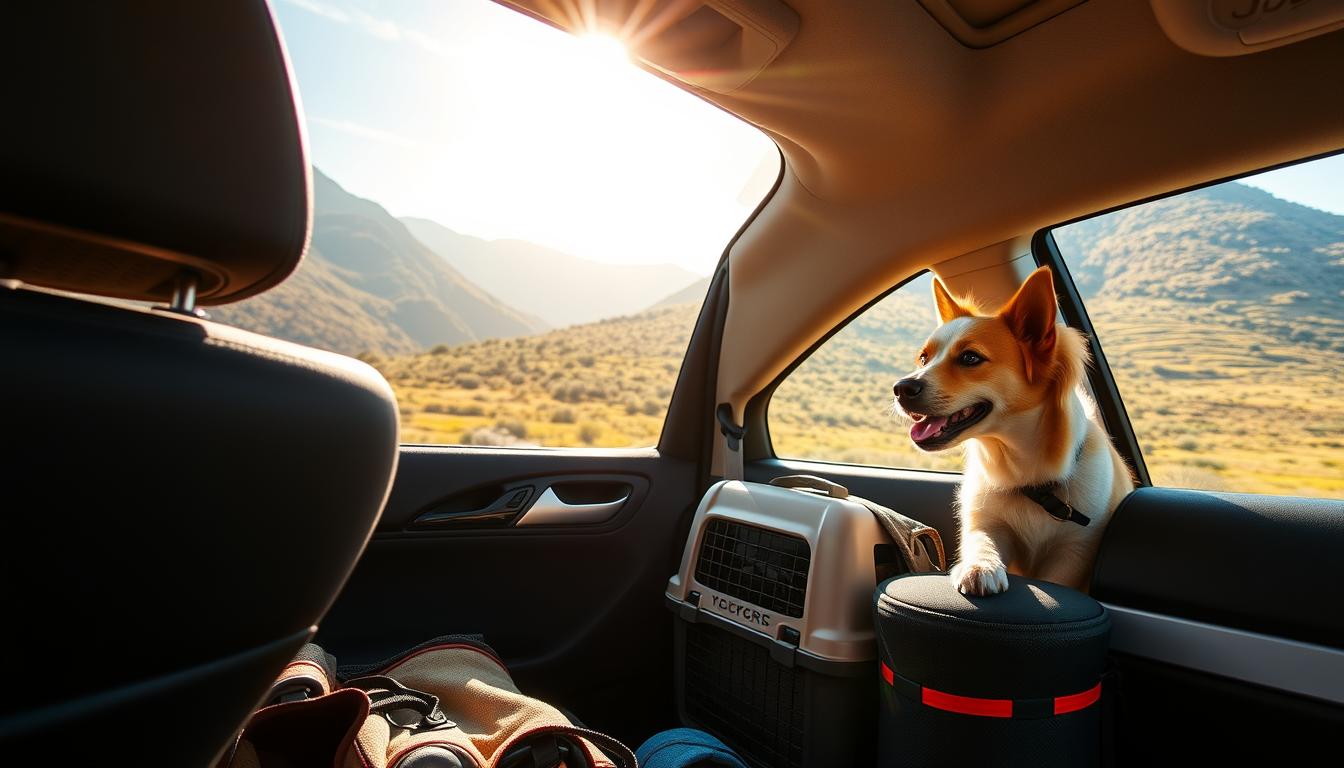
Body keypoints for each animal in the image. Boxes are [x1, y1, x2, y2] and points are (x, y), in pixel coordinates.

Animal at [892, 267, 1134, 597]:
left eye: (970, 358)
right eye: (924, 358)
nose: (900, 389)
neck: (1027, 478)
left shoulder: (1074, 552)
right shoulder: (986, 523)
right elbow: (981, 541)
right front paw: (979, 566)